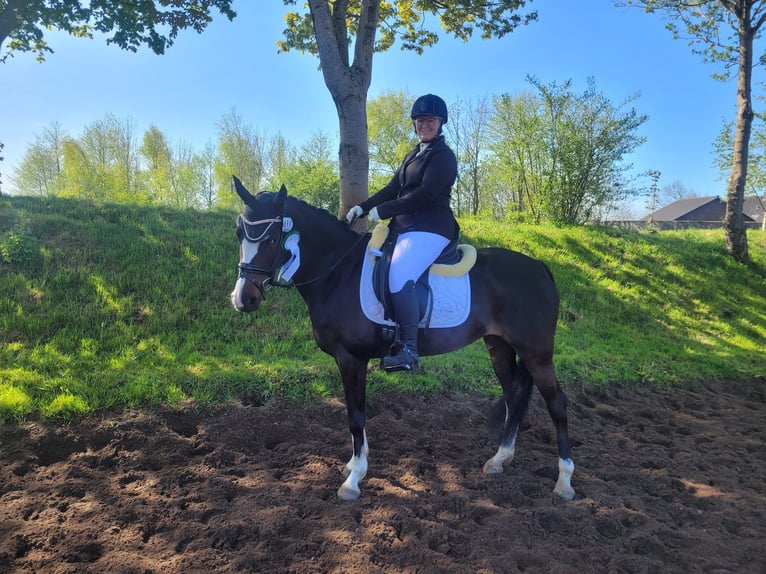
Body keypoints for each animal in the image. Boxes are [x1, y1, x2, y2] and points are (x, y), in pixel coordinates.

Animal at [230, 177, 575, 502]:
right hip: (499, 347)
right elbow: (356, 413)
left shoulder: (351, 358)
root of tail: (540, 267)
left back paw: (565, 482)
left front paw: (353, 480)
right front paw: (353, 466)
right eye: (240, 235)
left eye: (271, 238)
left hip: (536, 352)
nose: (243, 299)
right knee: (513, 396)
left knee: (557, 403)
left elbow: (356, 416)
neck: (338, 272)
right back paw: (500, 460)